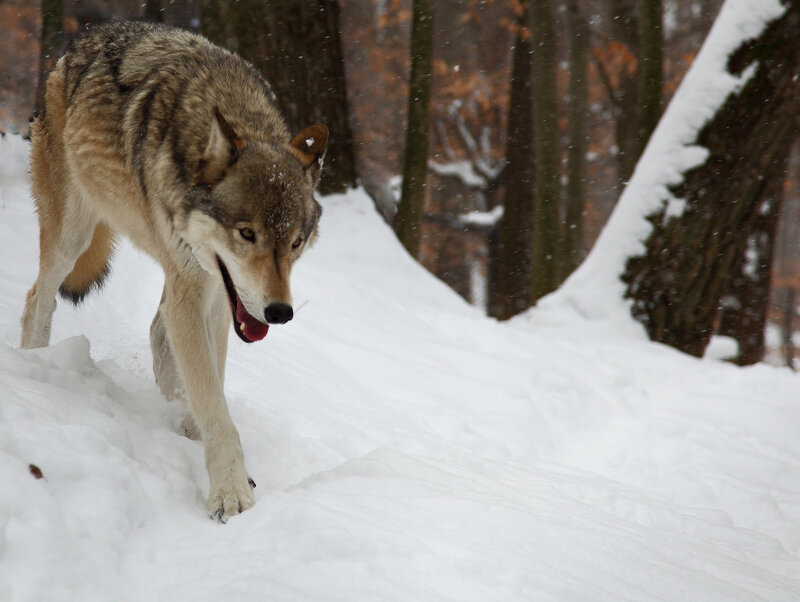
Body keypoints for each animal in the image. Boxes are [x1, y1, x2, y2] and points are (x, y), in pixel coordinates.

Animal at [20, 21, 327, 522]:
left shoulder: (220, 295)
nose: (280, 312)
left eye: (295, 243)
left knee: (157, 330)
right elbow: (213, 402)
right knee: (37, 300)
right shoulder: (195, 288)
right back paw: (34, 366)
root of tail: (81, 41)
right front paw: (230, 492)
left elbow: (209, 382)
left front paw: (199, 436)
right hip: (72, 238)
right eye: (247, 234)